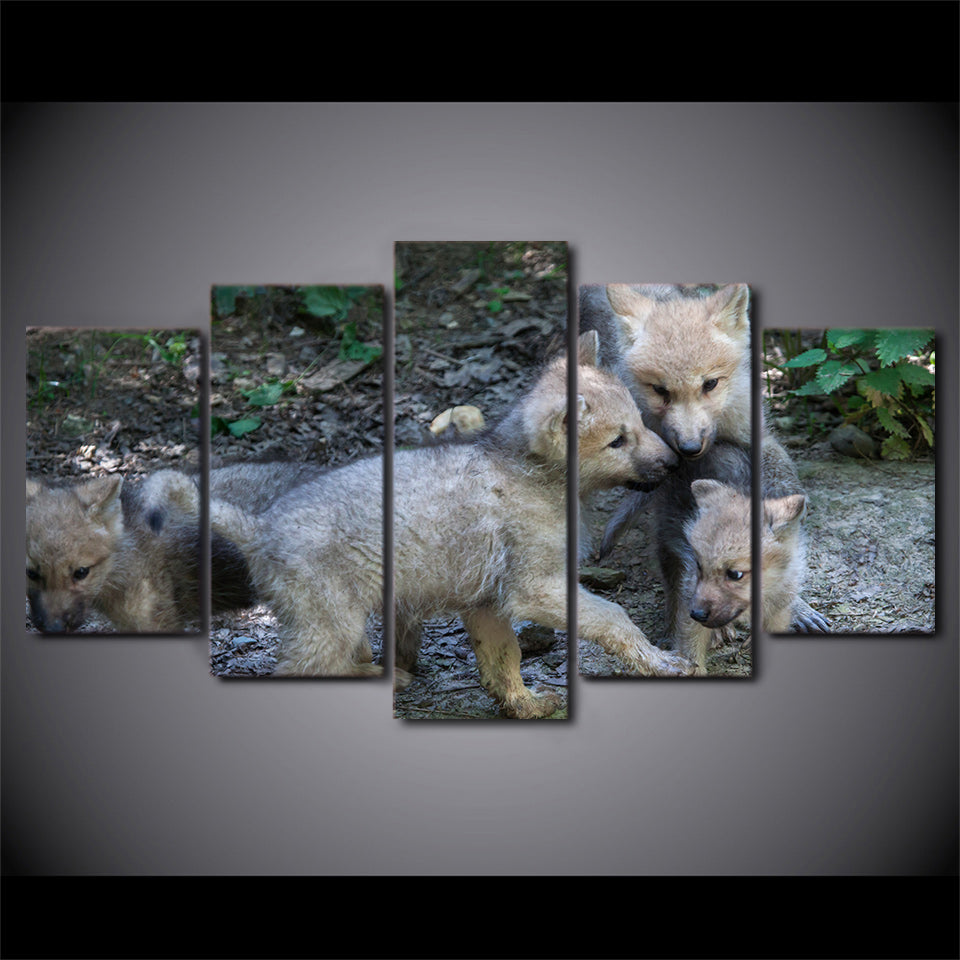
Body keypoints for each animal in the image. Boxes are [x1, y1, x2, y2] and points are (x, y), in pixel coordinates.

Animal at [205, 331, 694, 717]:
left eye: (640, 422)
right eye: (617, 441)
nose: (676, 462)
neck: (531, 473)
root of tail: (259, 527)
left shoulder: (486, 603)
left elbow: (504, 658)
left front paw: (526, 705)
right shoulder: (534, 587)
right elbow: (613, 616)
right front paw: (664, 662)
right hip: (329, 624)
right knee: (300, 669)